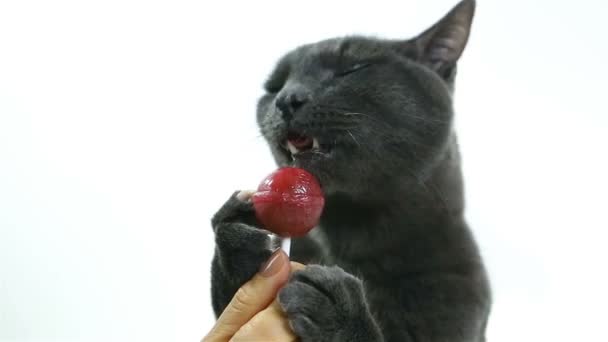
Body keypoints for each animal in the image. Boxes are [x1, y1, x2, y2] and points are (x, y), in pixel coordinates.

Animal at [209, 0, 490, 340]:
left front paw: (338, 308)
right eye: (272, 86)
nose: (286, 99)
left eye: (352, 69)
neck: (348, 237)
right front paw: (238, 229)